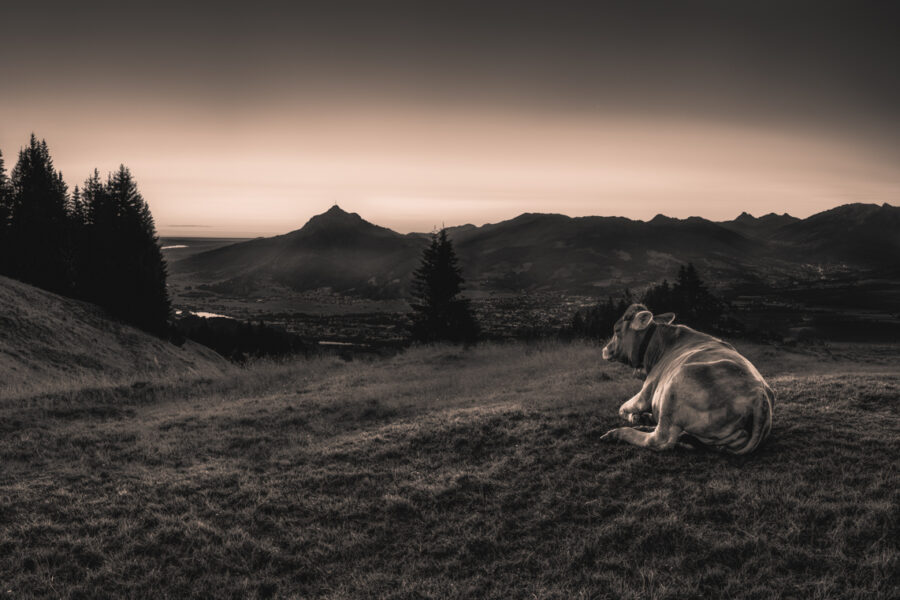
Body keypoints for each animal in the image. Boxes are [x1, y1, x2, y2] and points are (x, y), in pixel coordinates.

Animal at [596, 304, 772, 454]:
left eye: (617, 330)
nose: (605, 349)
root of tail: (759, 394)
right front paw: (641, 417)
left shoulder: (646, 391)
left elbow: (622, 408)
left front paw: (634, 416)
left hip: (675, 386)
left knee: (660, 439)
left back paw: (617, 433)